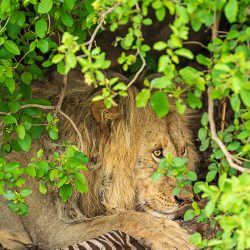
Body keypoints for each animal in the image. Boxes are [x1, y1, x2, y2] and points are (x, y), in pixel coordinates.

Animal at [0, 71, 197, 250]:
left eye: (183, 150)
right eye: (157, 153)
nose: (187, 199)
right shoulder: (51, 232)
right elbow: (118, 218)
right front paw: (170, 236)